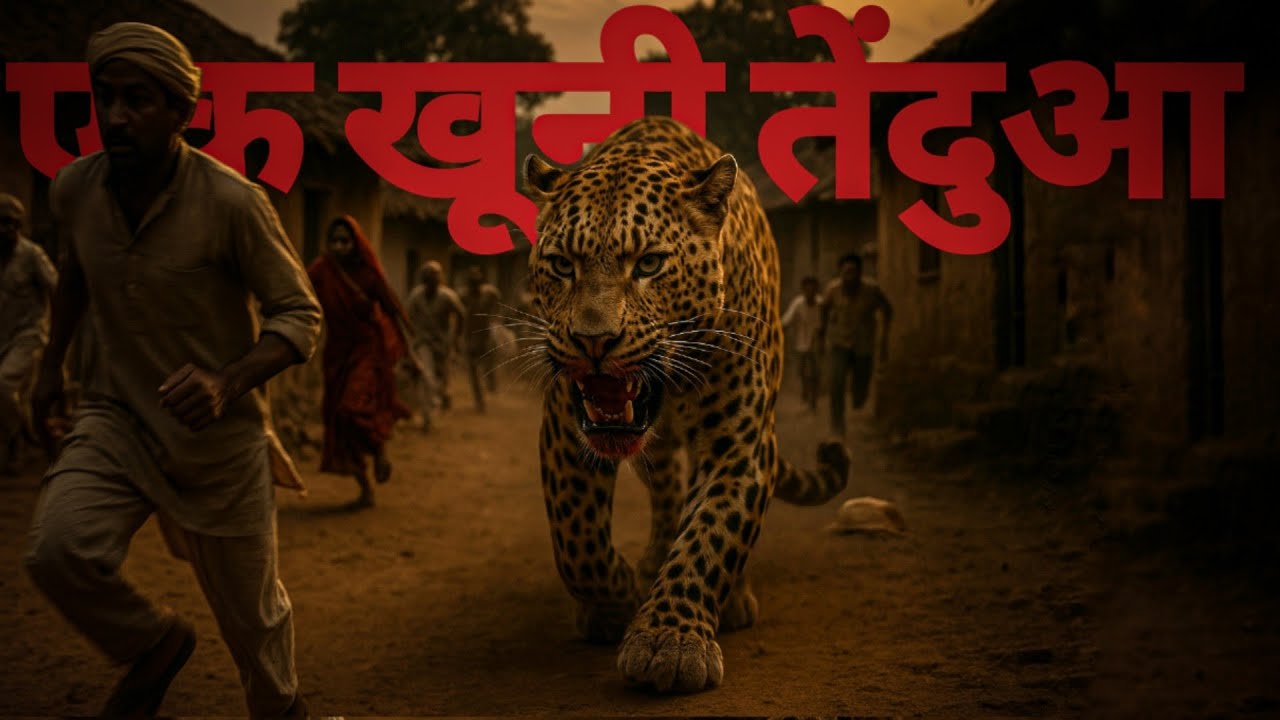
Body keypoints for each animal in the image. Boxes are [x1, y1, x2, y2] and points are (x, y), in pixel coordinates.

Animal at [520, 116, 851, 693]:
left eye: (649, 263)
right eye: (562, 266)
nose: (593, 341)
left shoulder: (739, 440)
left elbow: (711, 536)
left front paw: (668, 641)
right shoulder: (565, 427)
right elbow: (577, 539)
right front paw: (617, 603)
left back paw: (732, 600)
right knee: (666, 491)